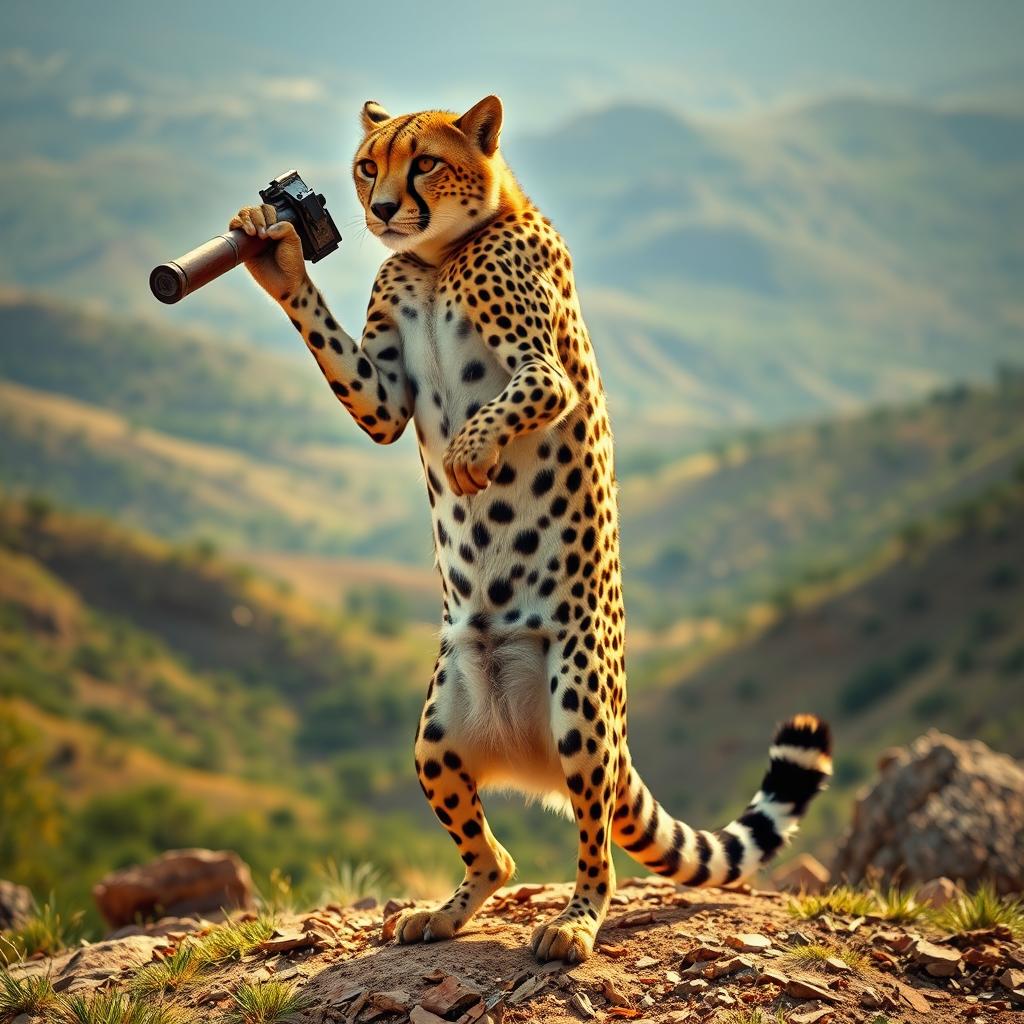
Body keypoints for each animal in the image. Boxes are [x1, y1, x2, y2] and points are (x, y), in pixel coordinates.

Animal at [232, 94, 831, 958]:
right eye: (367, 165)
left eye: (424, 163)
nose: (382, 209)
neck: (440, 252)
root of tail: (533, 753)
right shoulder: (382, 398)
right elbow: (360, 378)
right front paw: (274, 253)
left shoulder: (545, 373)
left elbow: (513, 400)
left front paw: (469, 456)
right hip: (437, 734)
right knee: (499, 855)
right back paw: (446, 912)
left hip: (580, 708)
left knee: (596, 845)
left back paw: (575, 923)